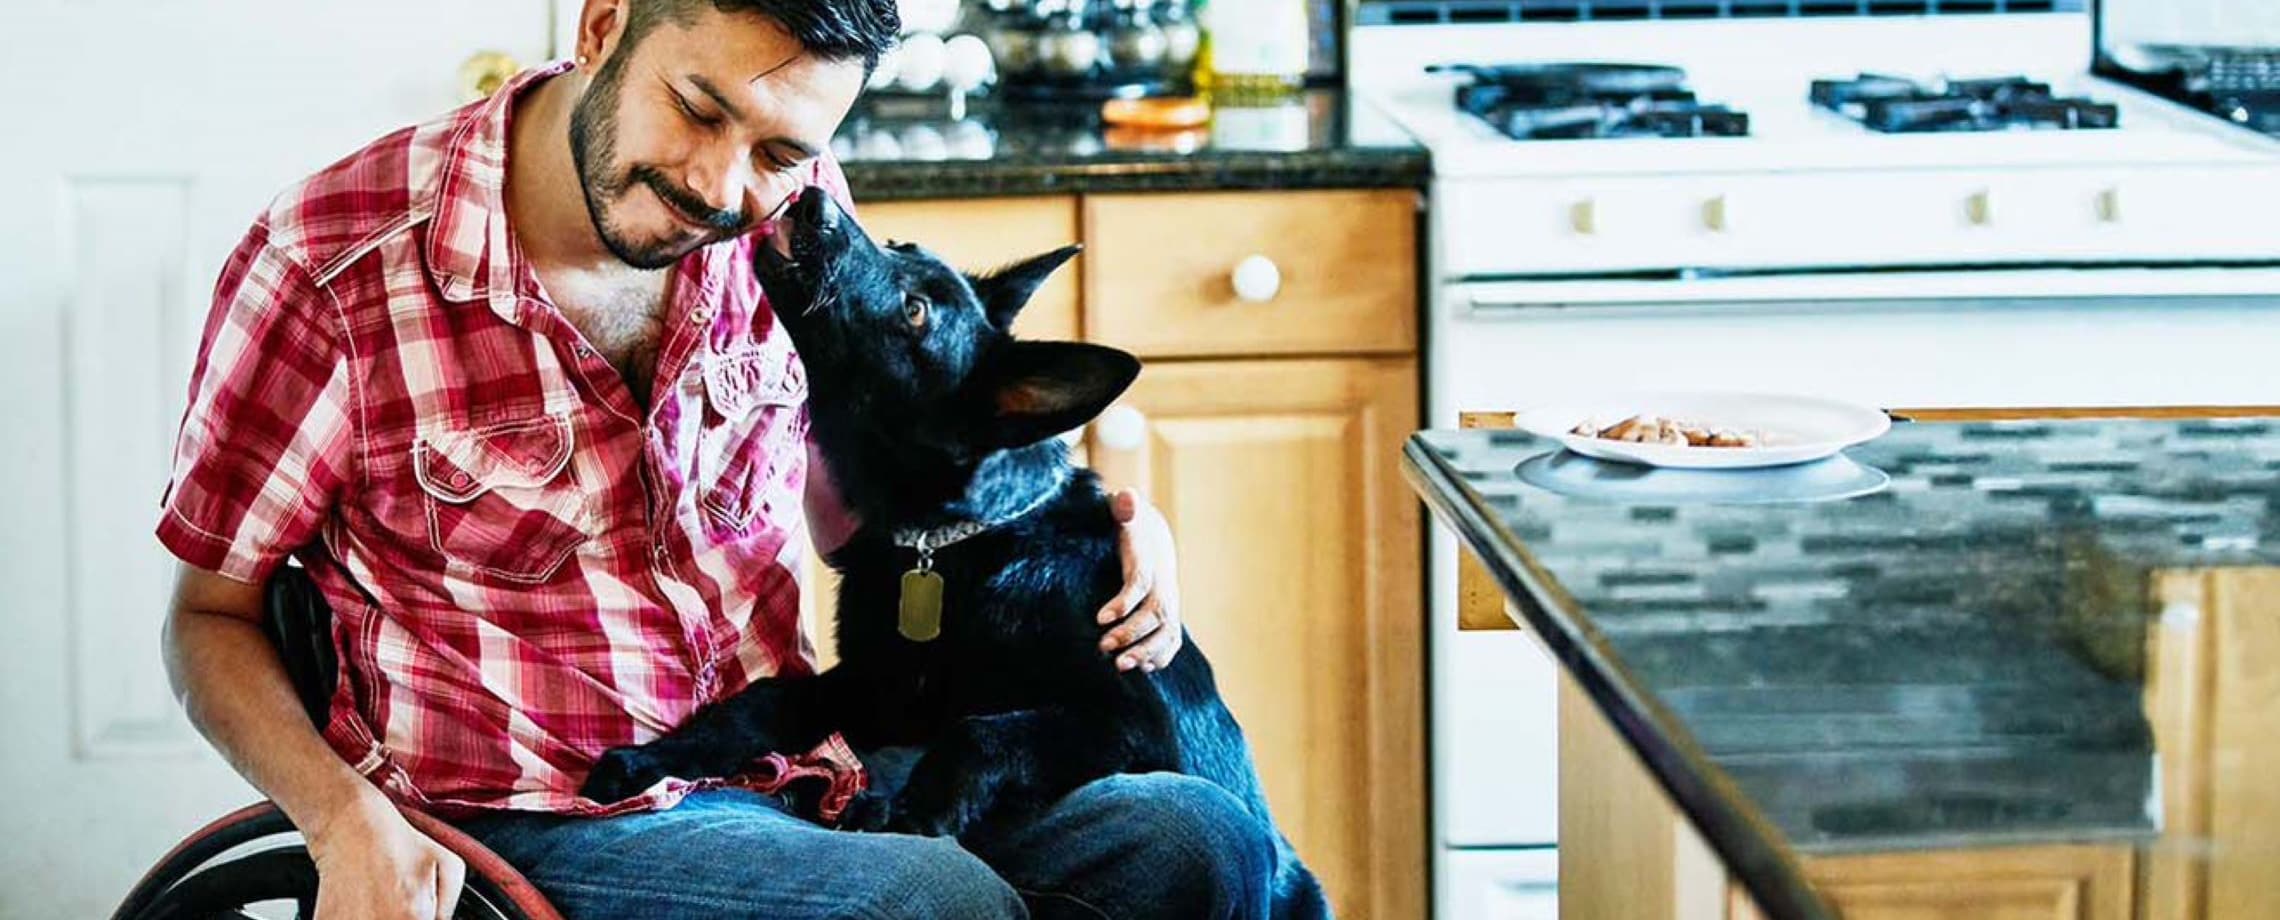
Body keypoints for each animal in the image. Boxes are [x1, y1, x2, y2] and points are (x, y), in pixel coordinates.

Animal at [579, 189, 1331, 919]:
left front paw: (905, 812)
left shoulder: (1133, 726)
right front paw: (655, 761)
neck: (951, 546)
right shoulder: (879, 688)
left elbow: (981, 731)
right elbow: (763, 702)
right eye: (901, 245)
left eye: (916, 313)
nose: (813, 199)